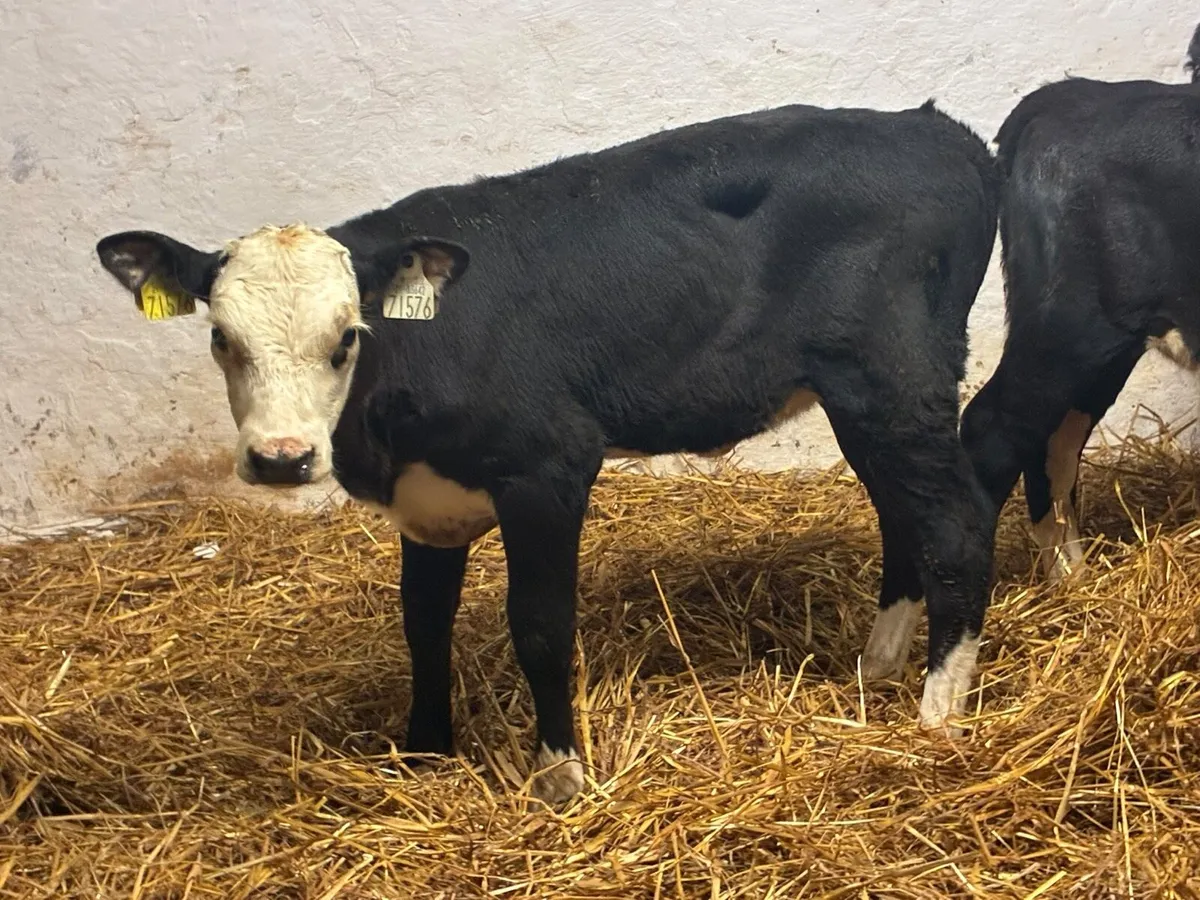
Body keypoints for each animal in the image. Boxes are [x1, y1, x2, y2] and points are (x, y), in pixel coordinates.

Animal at [95, 99, 1000, 805]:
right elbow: (422, 622)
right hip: (862, 398)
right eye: (221, 338)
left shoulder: (548, 466)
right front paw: (425, 749)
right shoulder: (428, 501)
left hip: (893, 378)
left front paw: (559, 771)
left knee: (956, 525)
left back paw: (937, 710)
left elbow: (539, 624)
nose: (281, 458)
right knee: (903, 515)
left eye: (347, 337)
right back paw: (879, 664)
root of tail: (934, 128)